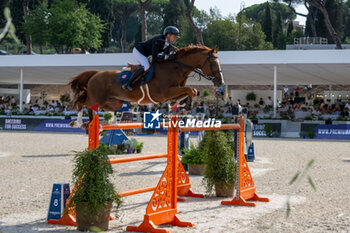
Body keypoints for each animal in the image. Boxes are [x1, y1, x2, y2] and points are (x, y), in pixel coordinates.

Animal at [68, 45, 224, 127]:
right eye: (213, 63)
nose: (220, 82)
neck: (175, 67)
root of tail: (95, 74)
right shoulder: (165, 92)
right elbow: (191, 90)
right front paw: (185, 107)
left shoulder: (174, 92)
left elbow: (192, 91)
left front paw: (185, 107)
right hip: (97, 98)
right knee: (82, 102)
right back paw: (78, 122)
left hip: (113, 102)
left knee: (95, 108)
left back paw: (92, 123)